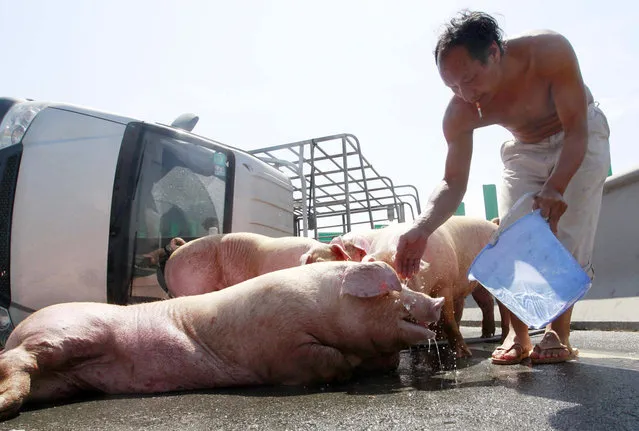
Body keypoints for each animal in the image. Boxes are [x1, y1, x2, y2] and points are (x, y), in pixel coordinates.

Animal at [0, 260, 444, 422]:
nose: (438, 301)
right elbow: (327, 360)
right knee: (21, 359)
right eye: (397, 290)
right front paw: (346, 370)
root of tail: (15, 331)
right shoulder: (283, 348)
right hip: (67, 331)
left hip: (65, 379)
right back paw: (7, 407)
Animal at [332, 218, 498, 360]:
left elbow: (448, 319)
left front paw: (463, 355)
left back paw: (487, 337)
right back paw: (485, 335)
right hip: (476, 286)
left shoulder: (445, 284)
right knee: (485, 302)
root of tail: (493, 223)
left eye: (403, 280)